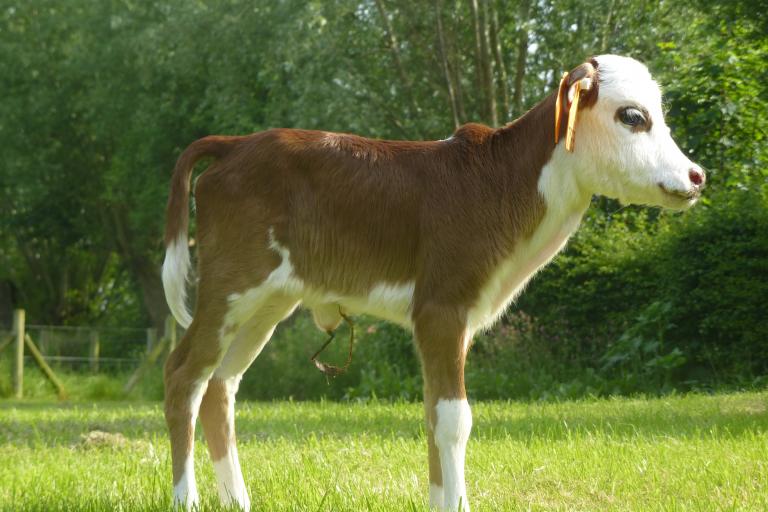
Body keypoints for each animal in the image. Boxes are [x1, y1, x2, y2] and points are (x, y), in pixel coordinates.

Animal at [160, 54, 704, 510]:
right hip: (229, 285)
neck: (500, 184)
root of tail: (236, 143)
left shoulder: (456, 320)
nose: (696, 175)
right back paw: (187, 499)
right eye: (632, 116)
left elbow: (433, 416)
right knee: (184, 376)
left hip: (269, 301)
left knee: (221, 385)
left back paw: (237, 500)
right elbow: (454, 419)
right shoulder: (441, 308)